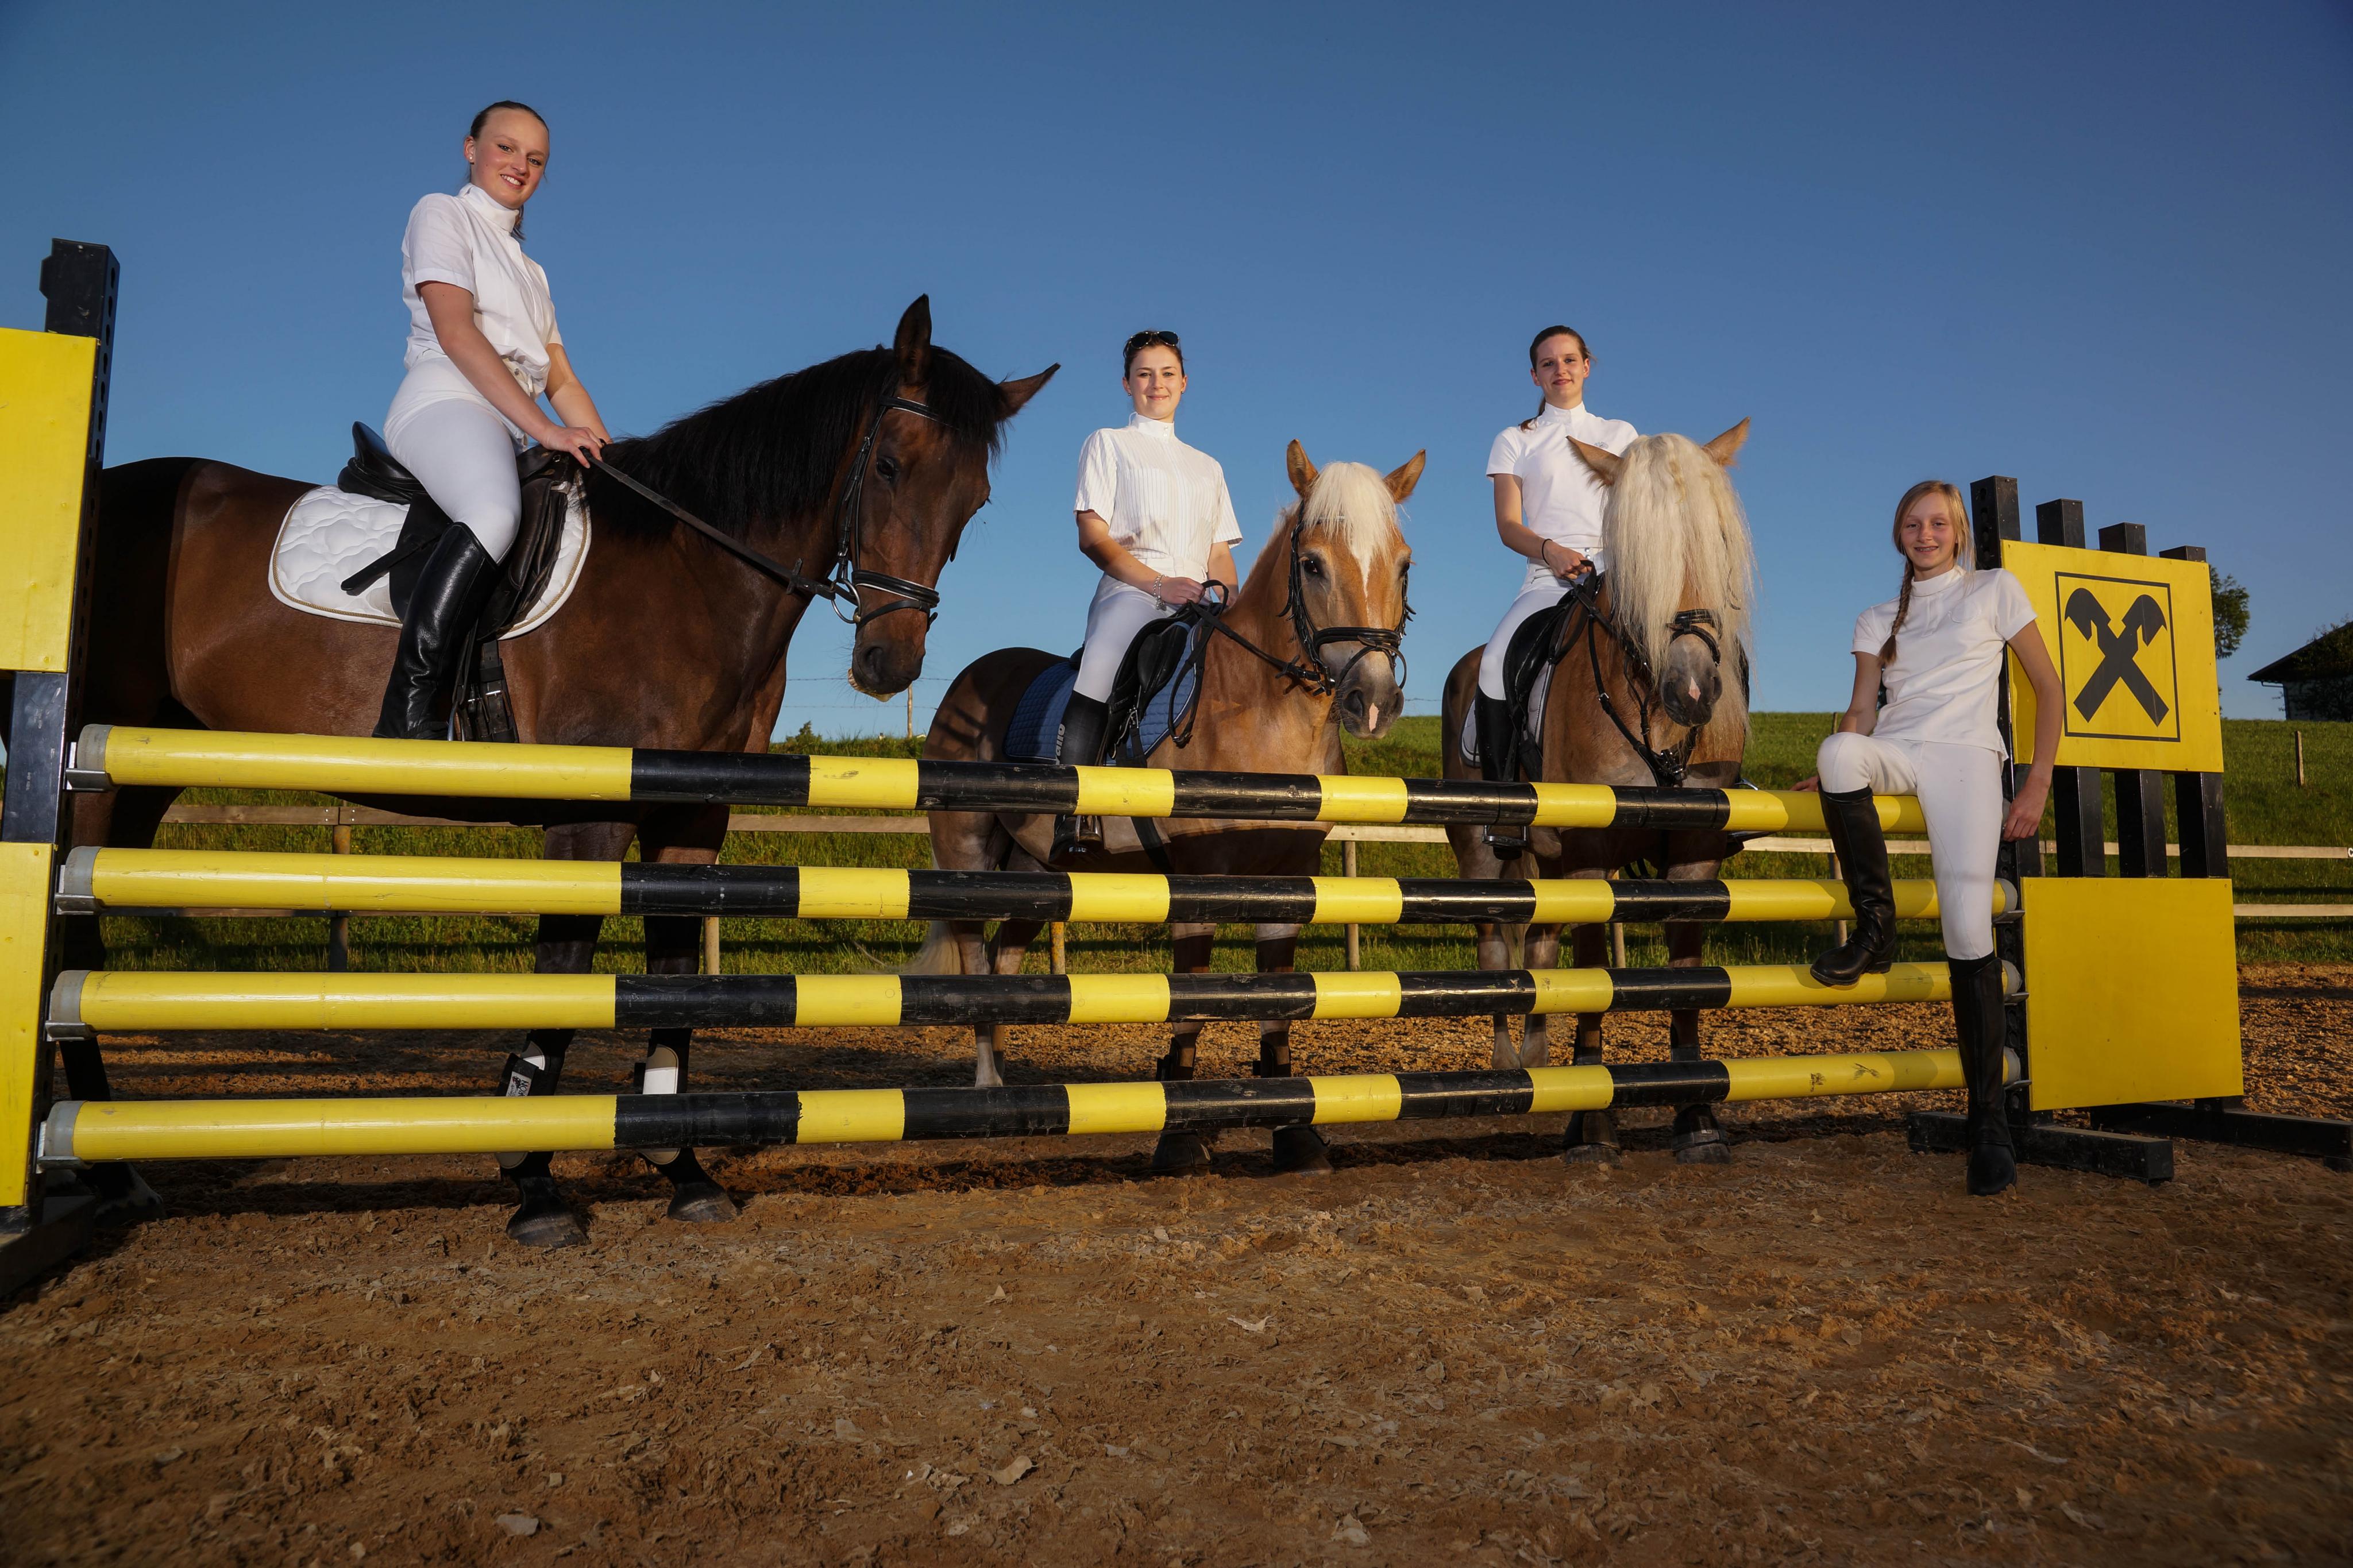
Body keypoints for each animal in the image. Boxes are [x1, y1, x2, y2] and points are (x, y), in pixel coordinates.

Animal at [61, 298, 1055, 1244]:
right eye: (886, 465)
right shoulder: (590, 817)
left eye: (974, 500)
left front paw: (682, 1170)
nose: (890, 662)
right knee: (70, 949)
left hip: (139, 776)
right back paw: (111, 1176)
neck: (692, 574)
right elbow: (566, 975)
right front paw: (533, 1183)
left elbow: (673, 974)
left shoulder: (689, 817)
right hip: (92, 782)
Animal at [913, 441, 1419, 1174]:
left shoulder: (1289, 881)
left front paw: (1295, 1134)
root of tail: (973, 676)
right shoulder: (1198, 881)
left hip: (1037, 871)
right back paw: (986, 1097)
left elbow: (1279, 1007)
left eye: (1404, 564)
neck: (1261, 714)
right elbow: (1189, 1007)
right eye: (1312, 564)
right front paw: (1179, 1137)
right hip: (969, 859)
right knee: (977, 964)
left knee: (1006, 960)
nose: (1373, 701)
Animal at [1439, 421, 1754, 1164]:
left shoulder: (1694, 852)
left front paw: (1697, 1116)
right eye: (1635, 554)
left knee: (1538, 944)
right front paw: (1594, 1122)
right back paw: (1508, 1069)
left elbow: (1685, 978)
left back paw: (1537, 1063)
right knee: (1497, 946)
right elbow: (1593, 977)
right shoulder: (1591, 851)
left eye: (1718, 539)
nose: (1692, 690)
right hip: (1482, 852)